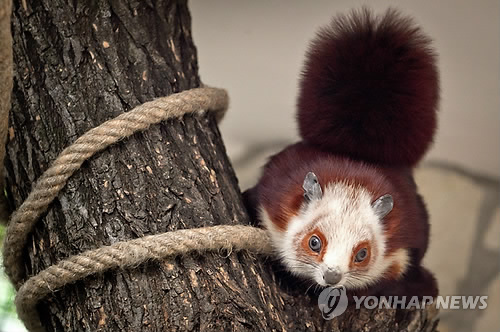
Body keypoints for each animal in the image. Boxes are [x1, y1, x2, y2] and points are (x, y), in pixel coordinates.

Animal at [244, 7, 440, 296]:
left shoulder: (401, 252)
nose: (332, 276)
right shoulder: (271, 203)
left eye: (362, 254)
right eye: (314, 242)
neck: (352, 181)